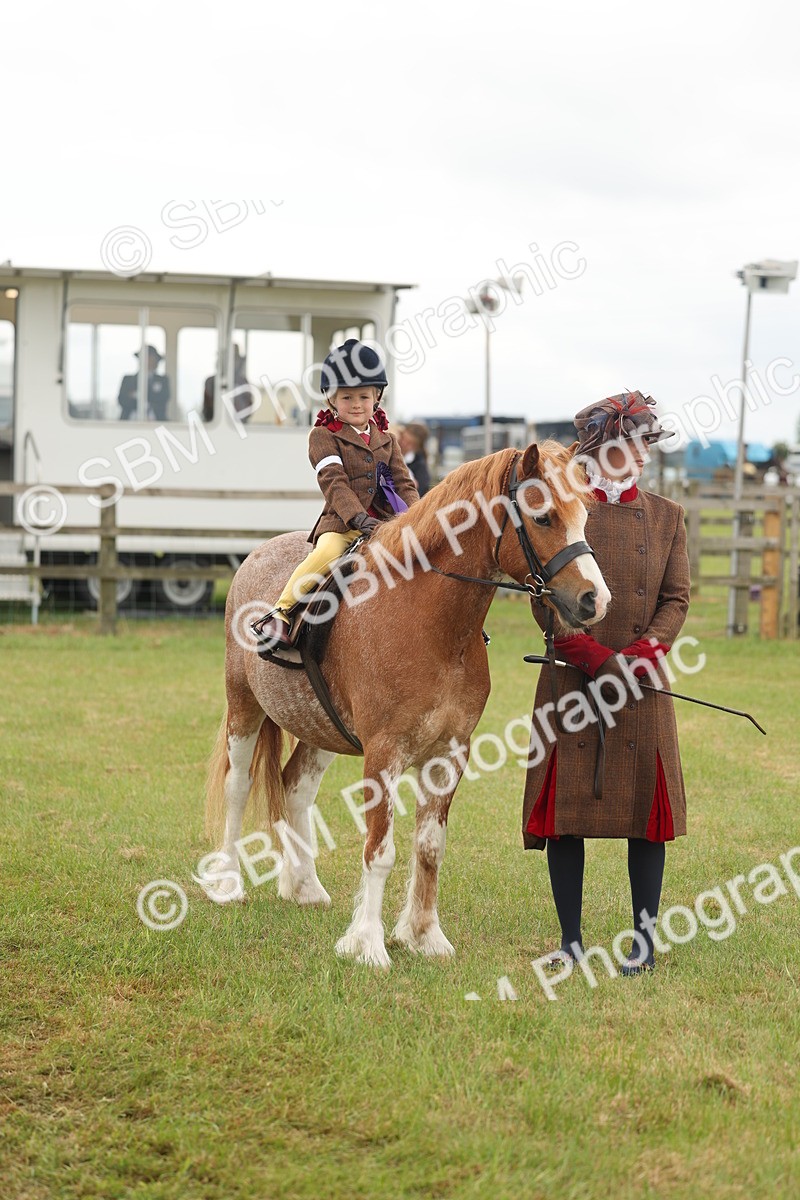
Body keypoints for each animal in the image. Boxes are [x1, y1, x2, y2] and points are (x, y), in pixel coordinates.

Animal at [202, 441, 611, 967]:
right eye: (542, 517)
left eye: (584, 515)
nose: (595, 600)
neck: (430, 620)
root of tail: (257, 554)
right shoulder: (383, 754)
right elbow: (380, 851)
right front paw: (368, 944)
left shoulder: (450, 753)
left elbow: (430, 847)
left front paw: (423, 935)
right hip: (244, 706)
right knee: (238, 786)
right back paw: (227, 883)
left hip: (320, 726)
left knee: (296, 787)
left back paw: (305, 886)